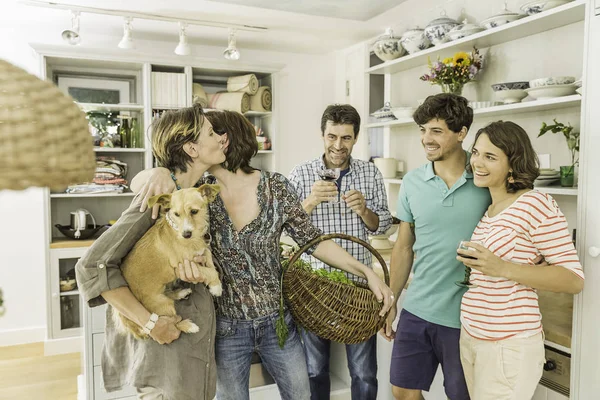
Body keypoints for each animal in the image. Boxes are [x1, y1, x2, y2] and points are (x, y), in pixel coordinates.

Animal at [113, 184, 221, 338]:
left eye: (194, 211)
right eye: (176, 214)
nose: (186, 234)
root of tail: (127, 321)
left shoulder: (202, 250)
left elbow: (209, 258)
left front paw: (213, 279)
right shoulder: (182, 265)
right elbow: (208, 271)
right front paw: (217, 287)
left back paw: (181, 293)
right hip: (164, 306)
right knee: (173, 323)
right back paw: (189, 326)